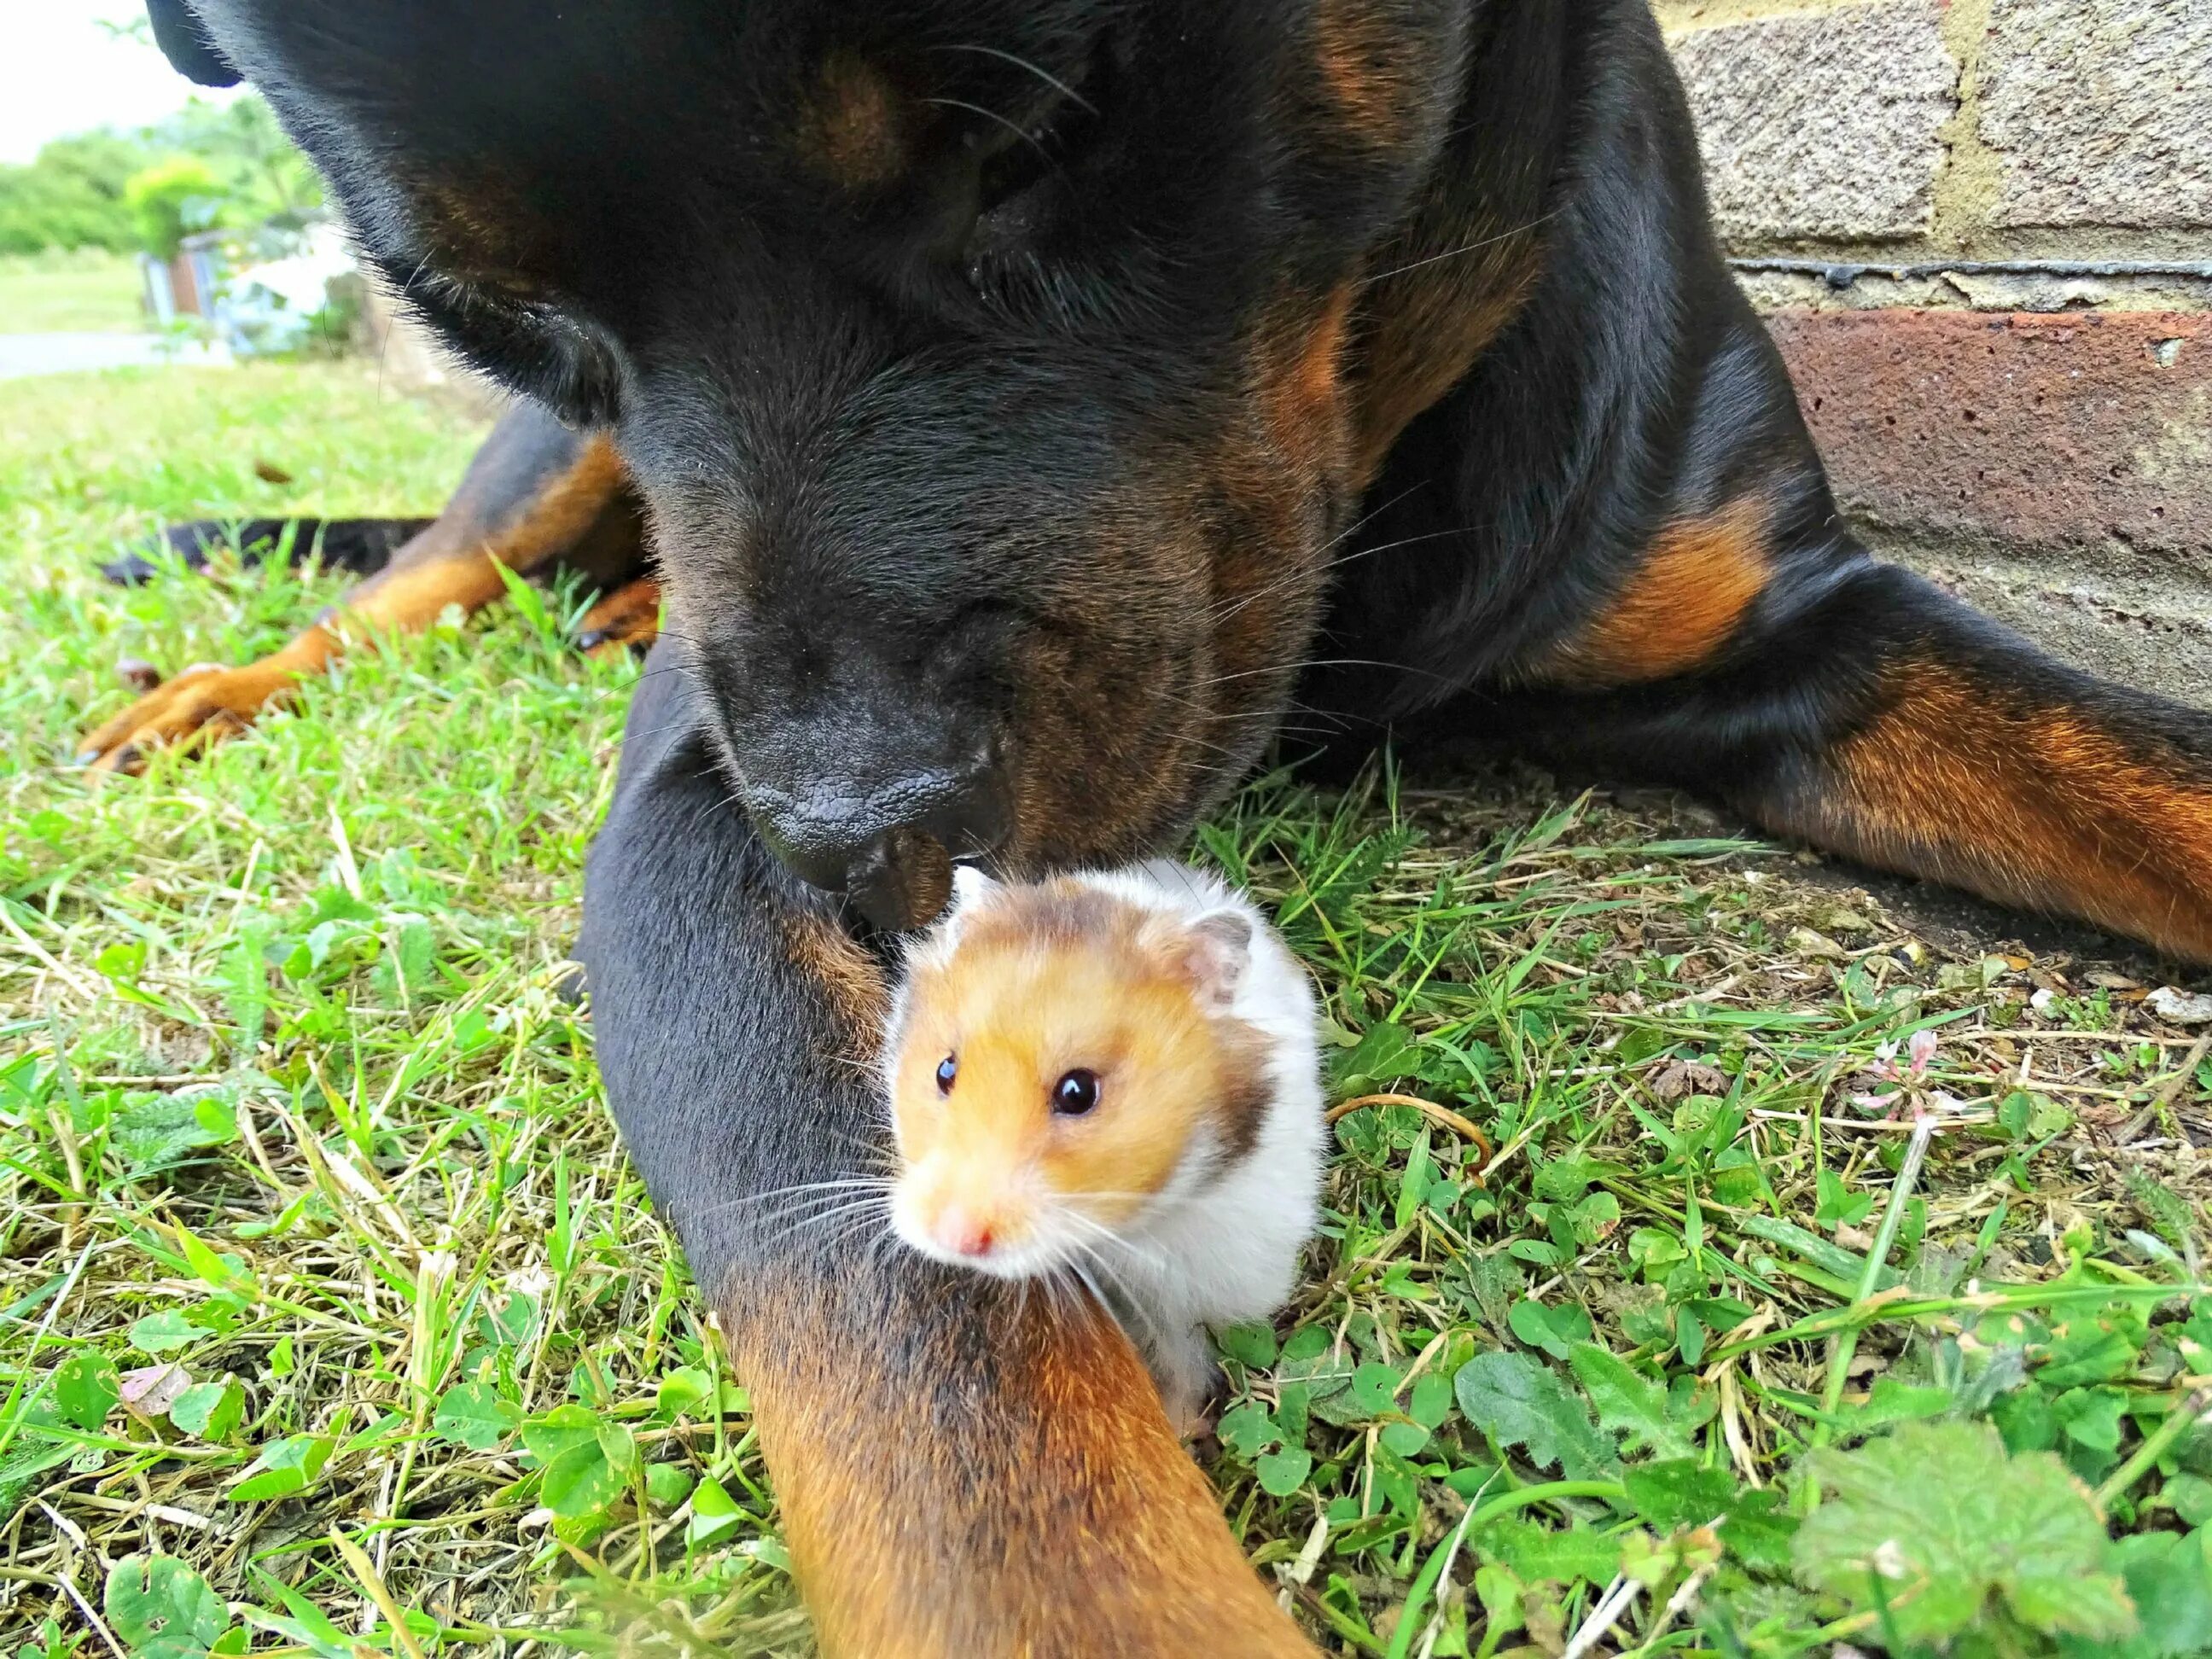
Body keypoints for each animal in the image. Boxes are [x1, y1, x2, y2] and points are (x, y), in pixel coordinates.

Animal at [129, 3, 2212, 1654]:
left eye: (1039, 124)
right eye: (498, 313)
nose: (853, 830)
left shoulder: (1796, 623)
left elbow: (2143, 763)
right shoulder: (690, 826)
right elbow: (930, 1361)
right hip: (541, 492)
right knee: (419, 572)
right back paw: (214, 689)